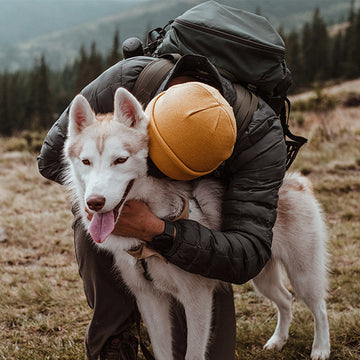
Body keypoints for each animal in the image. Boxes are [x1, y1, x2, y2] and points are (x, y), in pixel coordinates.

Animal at [63, 87, 330, 360]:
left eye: (120, 160)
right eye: (86, 162)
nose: (94, 202)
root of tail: (295, 181)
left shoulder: (197, 298)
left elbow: (193, 352)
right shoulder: (149, 298)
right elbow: (162, 351)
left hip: (303, 275)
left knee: (319, 306)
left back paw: (321, 348)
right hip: (262, 277)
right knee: (286, 299)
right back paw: (278, 340)